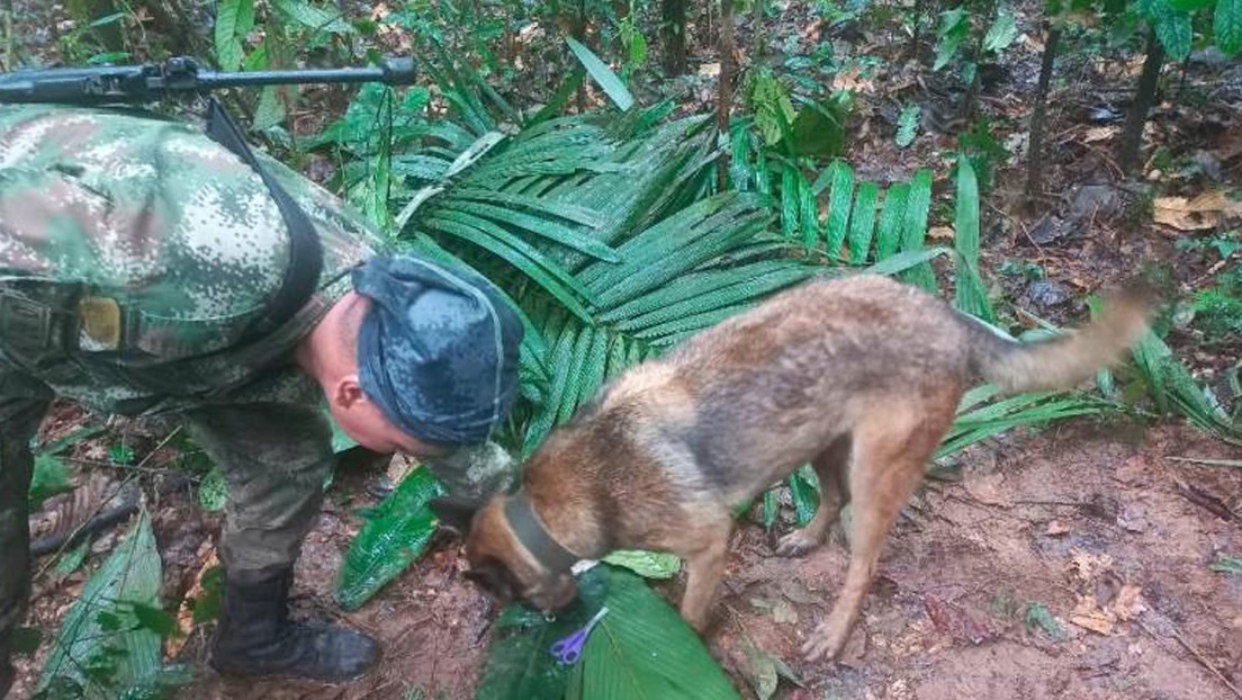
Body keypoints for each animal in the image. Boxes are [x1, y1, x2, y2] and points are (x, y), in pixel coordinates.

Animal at [442, 271, 1147, 660]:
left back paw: (834, 630)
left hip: (874, 470)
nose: (547, 624)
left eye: (511, 597)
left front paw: (686, 640)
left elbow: (690, 613)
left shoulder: (708, 542)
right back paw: (806, 539)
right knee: (830, 499)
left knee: (864, 560)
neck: (549, 506)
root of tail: (947, 315)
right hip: (819, 443)